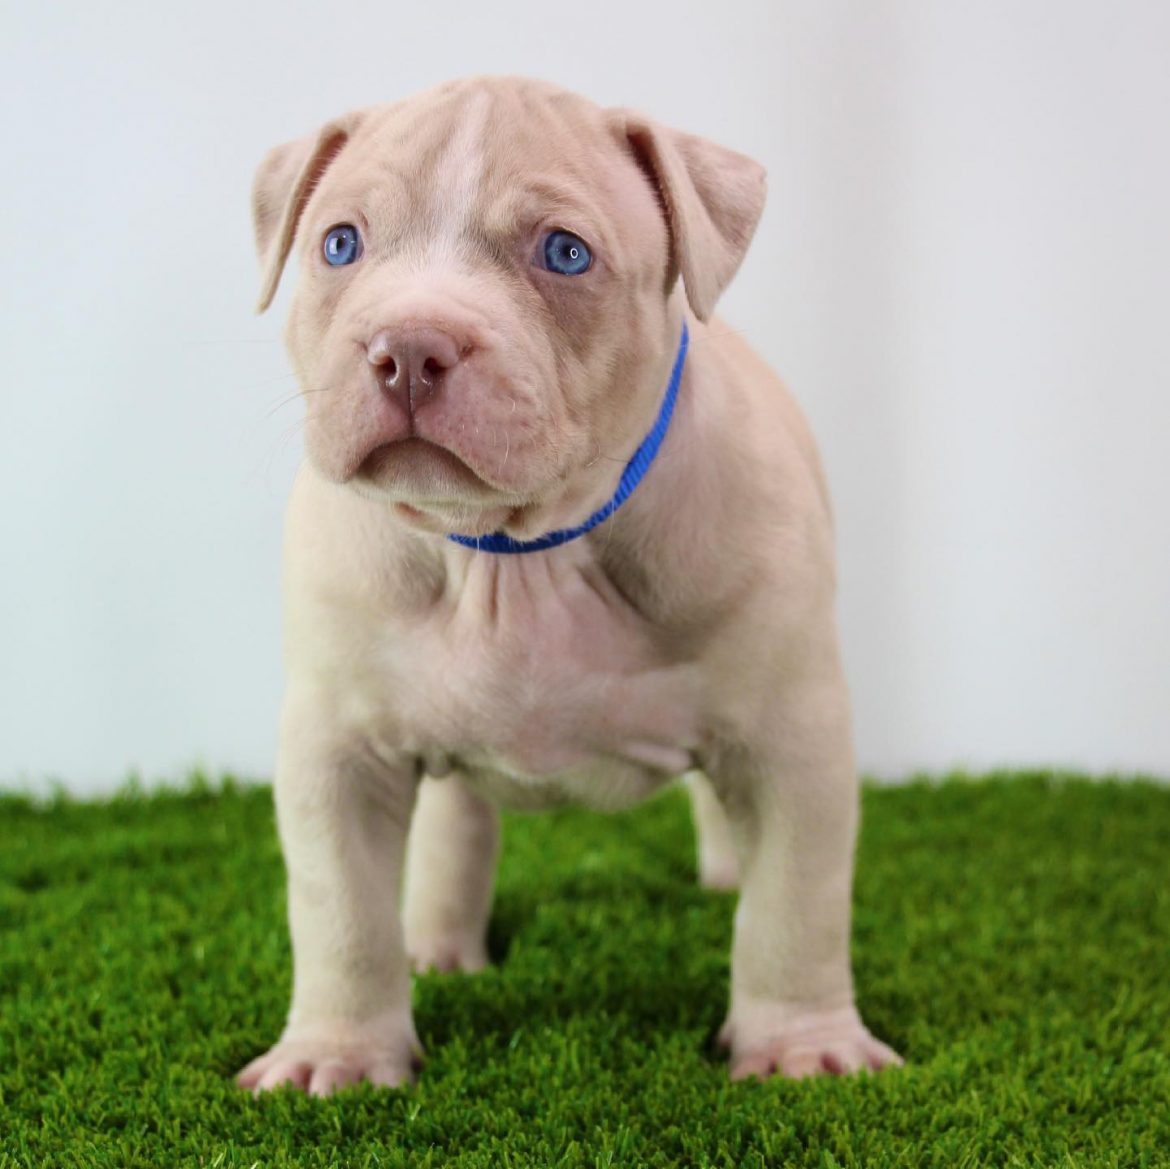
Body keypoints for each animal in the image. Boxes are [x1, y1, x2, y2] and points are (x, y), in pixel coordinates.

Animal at [235, 75, 893, 1095]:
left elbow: (795, 905)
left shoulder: (794, 735)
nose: (409, 346)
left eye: (564, 253)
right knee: (456, 820)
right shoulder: (335, 747)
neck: (516, 554)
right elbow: (340, 912)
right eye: (339, 243)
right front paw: (336, 1052)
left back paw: (722, 877)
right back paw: (438, 944)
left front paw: (799, 1044)